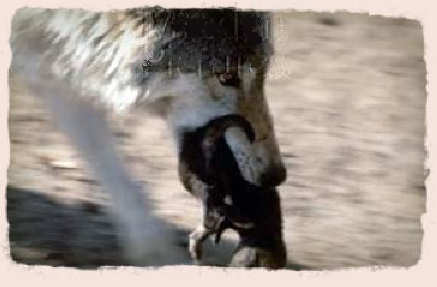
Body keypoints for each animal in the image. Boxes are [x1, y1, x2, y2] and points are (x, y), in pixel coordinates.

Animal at [9, 6, 286, 268]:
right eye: (226, 77)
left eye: (264, 72)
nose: (276, 175)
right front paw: (160, 253)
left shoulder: (55, 65)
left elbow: (112, 171)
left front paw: (152, 250)